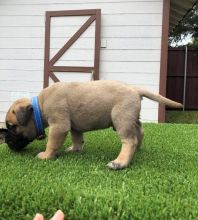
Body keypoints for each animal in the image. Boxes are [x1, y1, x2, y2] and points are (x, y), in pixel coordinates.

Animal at [1, 81, 183, 170]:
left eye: (11, 127)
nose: (6, 141)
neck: (40, 106)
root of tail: (135, 90)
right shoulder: (74, 126)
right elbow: (77, 138)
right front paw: (75, 149)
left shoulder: (59, 125)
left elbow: (52, 143)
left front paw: (46, 155)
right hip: (132, 118)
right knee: (140, 133)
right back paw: (136, 151)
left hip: (121, 119)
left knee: (129, 140)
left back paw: (120, 162)